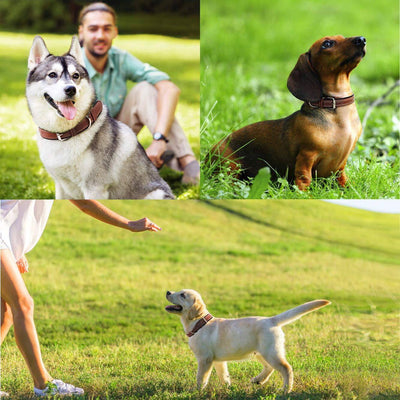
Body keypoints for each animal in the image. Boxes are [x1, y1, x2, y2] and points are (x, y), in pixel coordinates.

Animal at [26, 36, 173, 200]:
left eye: (75, 76)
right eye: (52, 74)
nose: (71, 89)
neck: (65, 134)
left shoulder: (95, 187)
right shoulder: (61, 186)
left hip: (156, 194)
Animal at [164, 290, 330, 392]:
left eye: (182, 295)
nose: (168, 292)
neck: (199, 323)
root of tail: (272, 320)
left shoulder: (205, 359)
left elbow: (201, 377)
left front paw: (197, 390)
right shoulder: (218, 361)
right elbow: (224, 376)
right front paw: (227, 388)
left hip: (271, 352)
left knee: (286, 368)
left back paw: (285, 390)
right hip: (261, 352)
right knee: (269, 368)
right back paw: (258, 380)